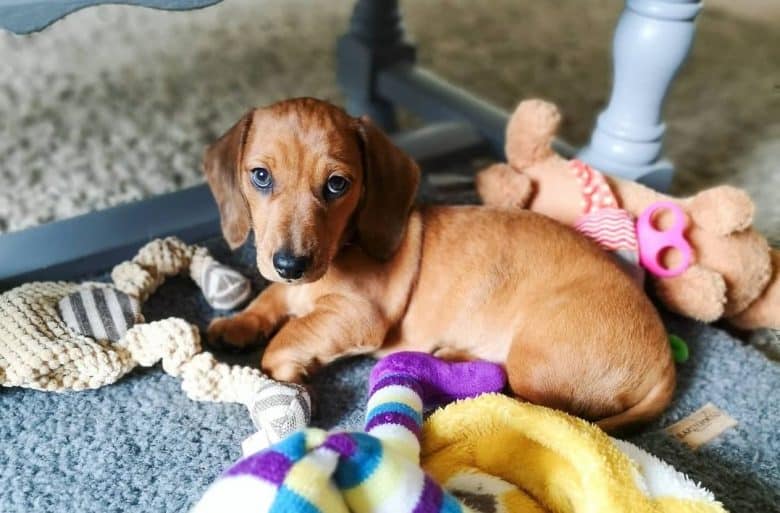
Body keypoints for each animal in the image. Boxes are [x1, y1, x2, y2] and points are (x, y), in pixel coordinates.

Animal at [204, 97, 672, 432]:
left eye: (337, 184)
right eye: (260, 176)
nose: (291, 264)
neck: (342, 249)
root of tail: (665, 360)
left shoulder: (357, 315)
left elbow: (287, 337)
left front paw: (288, 376)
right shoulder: (289, 286)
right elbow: (270, 297)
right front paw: (239, 323)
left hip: (536, 362)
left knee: (533, 404)